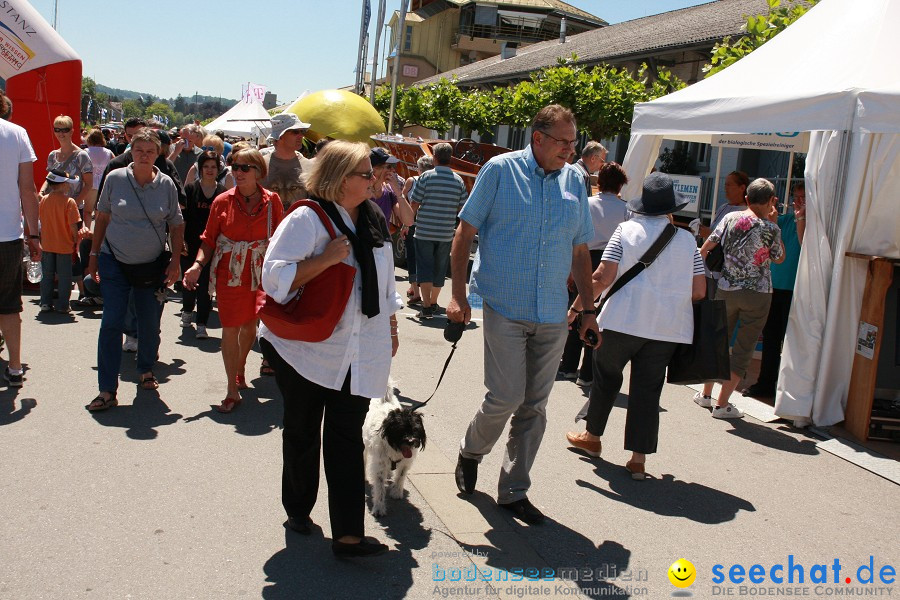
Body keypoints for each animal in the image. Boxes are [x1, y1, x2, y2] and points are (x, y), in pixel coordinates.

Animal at [362, 384, 426, 516]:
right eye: (401, 430)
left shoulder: (406, 462)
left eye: (415, 429)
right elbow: (380, 488)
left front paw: (396, 491)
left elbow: (401, 475)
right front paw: (379, 507)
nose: (411, 441)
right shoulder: (379, 464)